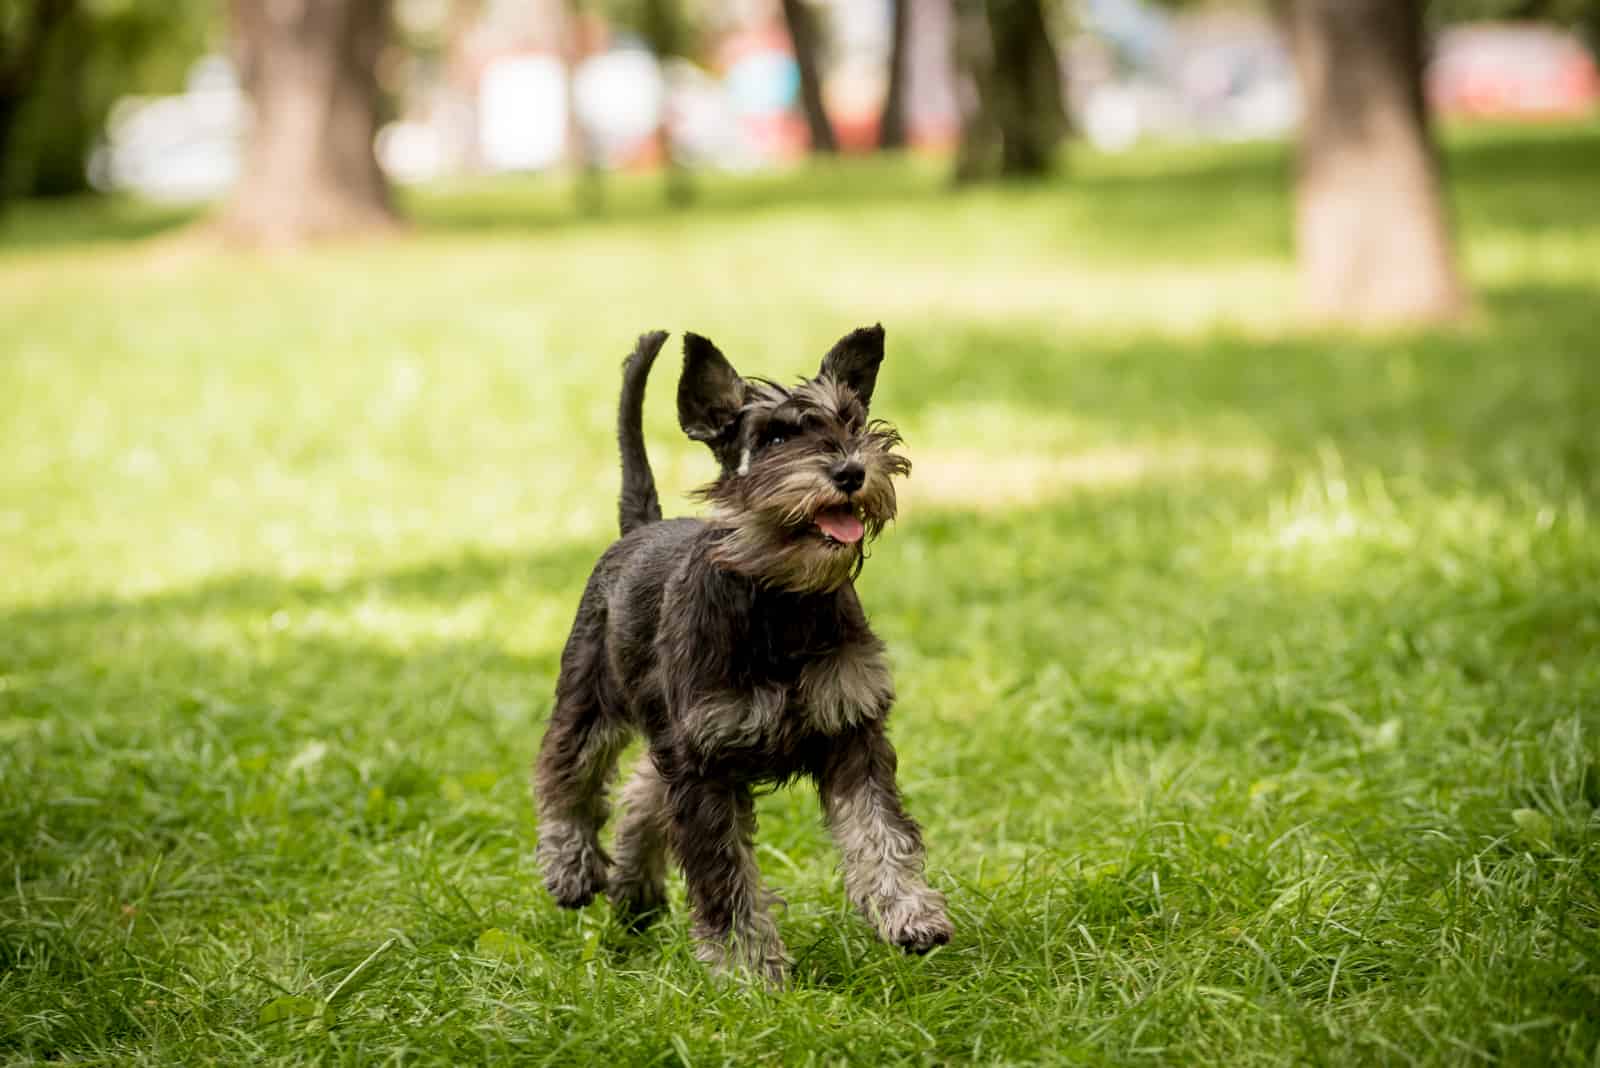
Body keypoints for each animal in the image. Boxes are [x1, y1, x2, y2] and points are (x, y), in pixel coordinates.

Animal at [534, 326, 947, 984]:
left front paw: (910, 913)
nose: (851, 470)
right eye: (775, 437)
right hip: (590, 695)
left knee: (641, 792)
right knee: (566, 771)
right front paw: (748, 971)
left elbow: (880, 832)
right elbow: (724, 876)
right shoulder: (703, 765)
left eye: (852, 421)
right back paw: (571, 868)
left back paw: (635, 892)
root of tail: (639, 527)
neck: (779, 597)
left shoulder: (852, 732)